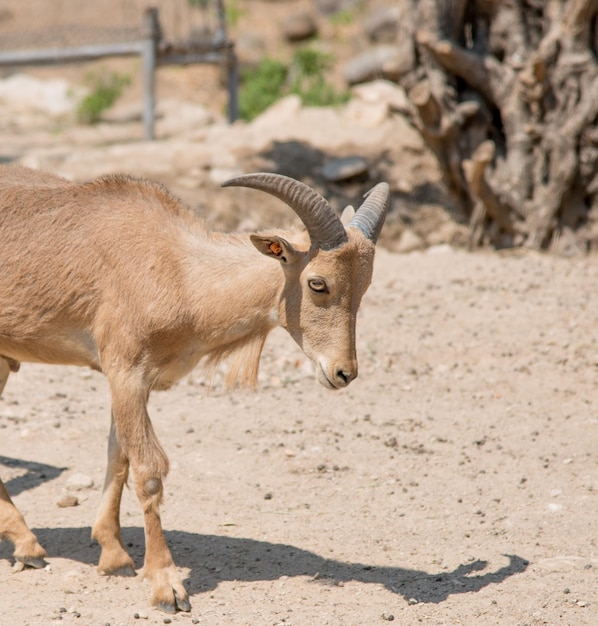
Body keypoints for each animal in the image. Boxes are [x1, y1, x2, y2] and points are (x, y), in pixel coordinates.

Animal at [0, 165, 390, 608]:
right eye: (318, 283)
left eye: (364, 285)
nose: (343, 372)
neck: (180, 274)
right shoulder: (125, 371)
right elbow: (148, 471)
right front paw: (166, 584)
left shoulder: (132, 382)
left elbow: (119, 457)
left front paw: (114, 557)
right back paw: (27, 544)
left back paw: (27, 545)